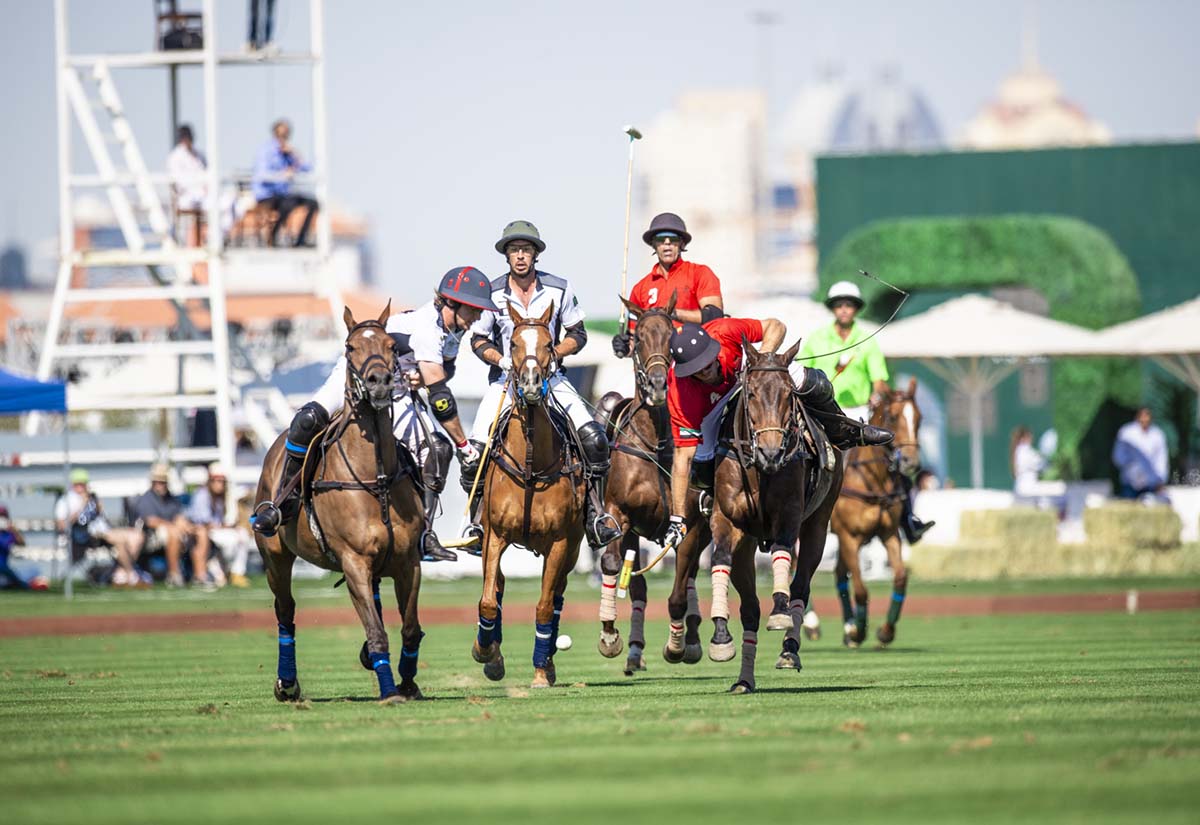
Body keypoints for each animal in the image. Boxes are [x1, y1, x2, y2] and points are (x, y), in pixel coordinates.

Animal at [468, 303, 585, 690]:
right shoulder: (495, 536)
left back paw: (546, 662)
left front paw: (540, 670)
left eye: (549, 343)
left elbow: (545, 606)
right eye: (515, 344)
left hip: (573, 546)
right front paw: (486, 653)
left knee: (557, 595)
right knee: (498, 586)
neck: (532, 466)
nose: (533, 384)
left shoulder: (561, 542)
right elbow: (488, 601)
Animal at [592, 293, 705, 671]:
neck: (654, 443)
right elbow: (612, 566)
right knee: (638, 585)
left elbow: (679, 592)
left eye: (672, 339)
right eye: (637, 337)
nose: (657, 386)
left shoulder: (691, 526)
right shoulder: (619, 514)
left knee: (690, 576)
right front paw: (609, 636)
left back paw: (695, 639)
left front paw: (677, 646)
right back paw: (634, 649)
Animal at [705, 338, 840, 690]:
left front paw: (779, 613)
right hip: (748, 543)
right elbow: (720, 559)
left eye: (788, 393)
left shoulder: (789, 514)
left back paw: (790, 648)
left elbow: (782, 552)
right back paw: (744, 680)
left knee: (801, 585)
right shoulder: (728, 519)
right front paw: (720, 637)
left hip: (818, 524)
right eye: (751, 393)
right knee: (750, 608)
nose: (771, 452)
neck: (759, 471)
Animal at [830, 378, 921, 642]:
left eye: (919, 418)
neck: (873, 479)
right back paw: (812, 625)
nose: (911, 462)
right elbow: (861, 589)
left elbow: (900, 577)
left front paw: (885, 631)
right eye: (892, 416)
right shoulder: (848, 536)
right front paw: (860, 631)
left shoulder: (889, 533)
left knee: (839, 573)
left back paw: (849, 626)